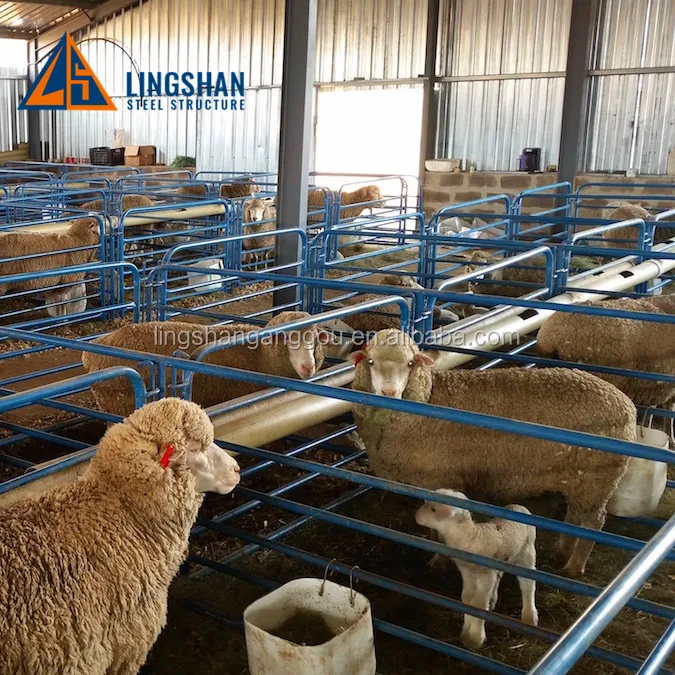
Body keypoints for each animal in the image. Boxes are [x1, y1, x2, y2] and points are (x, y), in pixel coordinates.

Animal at [349, 329, 636, 576]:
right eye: (371, 361)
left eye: (409, 364)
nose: (389, 391)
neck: (428, 399)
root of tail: (627, 405)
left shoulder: (442, 479)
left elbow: (441, 532)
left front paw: (439, 562)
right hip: (579, 479)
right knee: (574, 517)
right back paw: (561, 554)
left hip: (598, 479)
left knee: (593, 523)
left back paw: (574, 567)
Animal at [416, 489, 538, 649]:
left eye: (434, 509)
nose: (416, 515)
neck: (472, 537)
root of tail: (520, 507)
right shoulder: (468, 573)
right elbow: (467, 599)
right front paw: (465, 634)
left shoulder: (486, 575)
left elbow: (479, 605)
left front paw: (475, 638)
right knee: (500, 576)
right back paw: (493, 599)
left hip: (526, 553)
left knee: (528, 584)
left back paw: (529, 617)